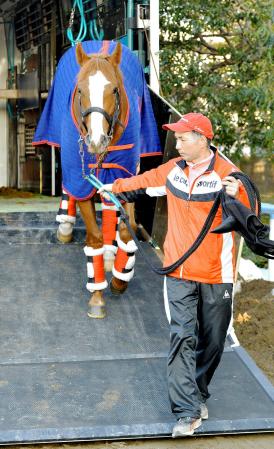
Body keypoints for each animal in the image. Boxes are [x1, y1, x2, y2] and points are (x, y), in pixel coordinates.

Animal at [32, 39, 162, 318]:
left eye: (114, 89)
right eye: (80, 90)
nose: (96, 140)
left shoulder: (125, 174)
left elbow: (126, 230)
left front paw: (120, 278)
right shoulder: (81, 175)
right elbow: (94, 238)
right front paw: (97, 295)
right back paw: (66, 225)